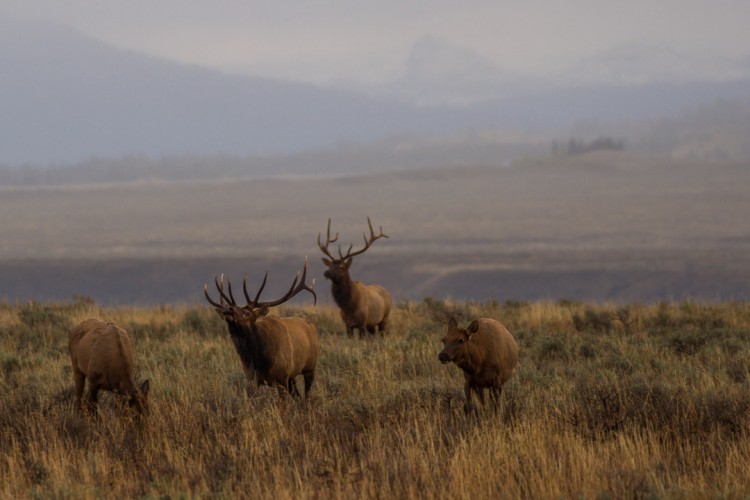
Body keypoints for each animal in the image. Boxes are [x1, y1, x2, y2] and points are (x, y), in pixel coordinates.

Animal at [204, 258, 322, 402]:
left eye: (246, 313)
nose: (228, 309)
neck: (260, 360)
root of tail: (312, 327)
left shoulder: (282, 376)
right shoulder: (252, 378)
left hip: (310, 367)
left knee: (306, 396)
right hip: (293, 376)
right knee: (298, 396)